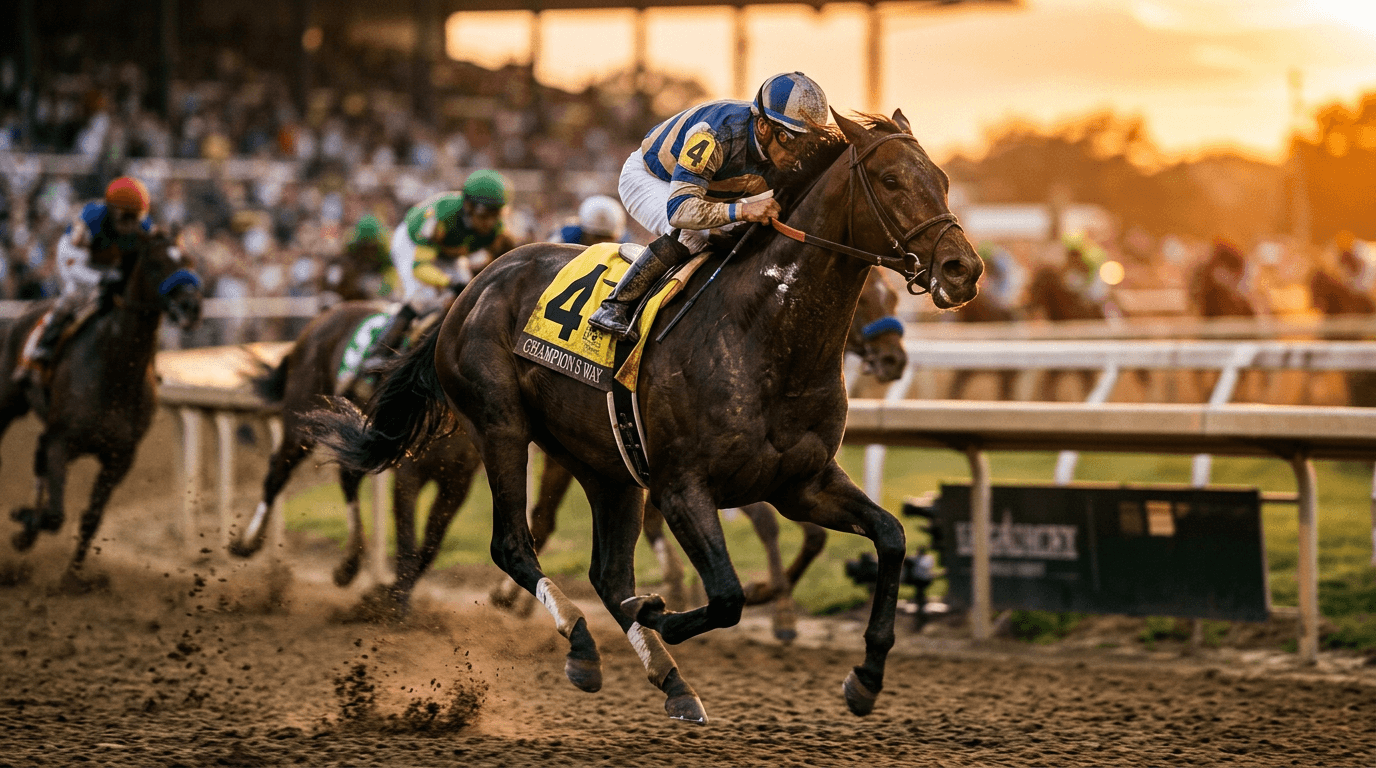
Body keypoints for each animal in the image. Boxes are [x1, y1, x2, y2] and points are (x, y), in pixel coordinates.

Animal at [0, 231, 203, 583]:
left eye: (189, 260)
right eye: (156, 262)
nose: (191, 305)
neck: (116, 370)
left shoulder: (120, 456)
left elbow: (90, 519)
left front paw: (71, 578)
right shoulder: (63, 441)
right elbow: (55, 514)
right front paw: (24, 518)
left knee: (39, 456)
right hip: (8, 399)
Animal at [227, 301, 482, 604]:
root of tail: (322, 320)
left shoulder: (458, 480)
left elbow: (429, 549)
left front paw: (386, 594)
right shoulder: (410, 472)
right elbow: (408, 544)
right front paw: (391, 604)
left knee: (348, 478)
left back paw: (348, 565)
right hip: (304, 419)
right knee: (278, 472)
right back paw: (247, 542)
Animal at [310, 110, 981, 723]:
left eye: (944, 180)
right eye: (891, 179)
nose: (963, 269)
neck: (765, 335)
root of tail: (475, 286)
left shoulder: (802, 483)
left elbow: (890, 537)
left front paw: (866, 676)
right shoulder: (682, 487)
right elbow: (727, 595)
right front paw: (664, 608)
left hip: (604, 465)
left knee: (607, 573)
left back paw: (666, 679)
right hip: (501, 427)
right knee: (514, 544)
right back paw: (579, 638)